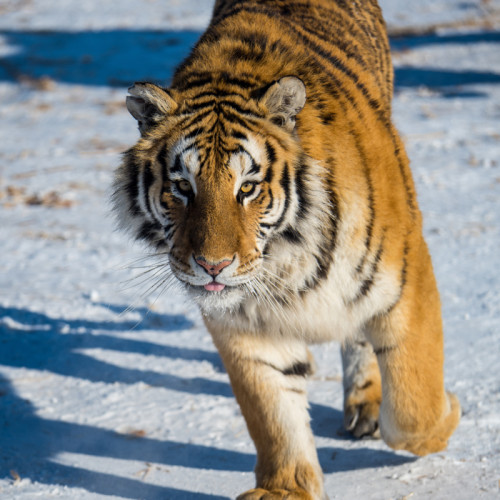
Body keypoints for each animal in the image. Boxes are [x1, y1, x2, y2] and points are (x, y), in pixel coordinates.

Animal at [112, 1, 460, 498]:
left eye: (248, 188)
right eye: (182, 187)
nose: (212, 266)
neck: (284, 260)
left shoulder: (406, 277)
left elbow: (414, 408)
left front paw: (450, 412)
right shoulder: (242, 324)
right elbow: (272, 410)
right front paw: (287, 489)